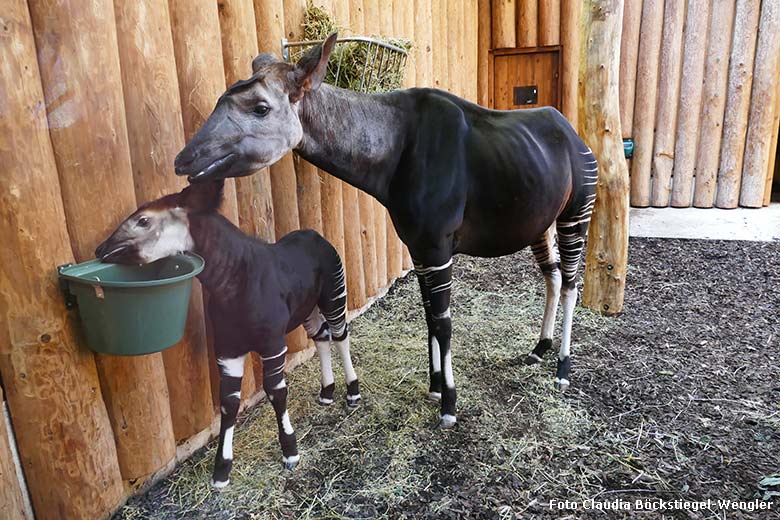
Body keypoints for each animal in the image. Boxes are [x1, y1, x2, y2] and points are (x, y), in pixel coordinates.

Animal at [94, 180, 360, 488]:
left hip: (333, 295)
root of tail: (316, 234)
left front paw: (290, 452)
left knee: (340, 334)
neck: (232, 284)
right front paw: (221, 470)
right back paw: (327, 392)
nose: (101, 248)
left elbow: (276, 392)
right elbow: (228, 403)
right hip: (308, 309)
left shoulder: (272, 344)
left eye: (144, 220)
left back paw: (352, 393)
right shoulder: (227, 349)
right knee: (321, 337)